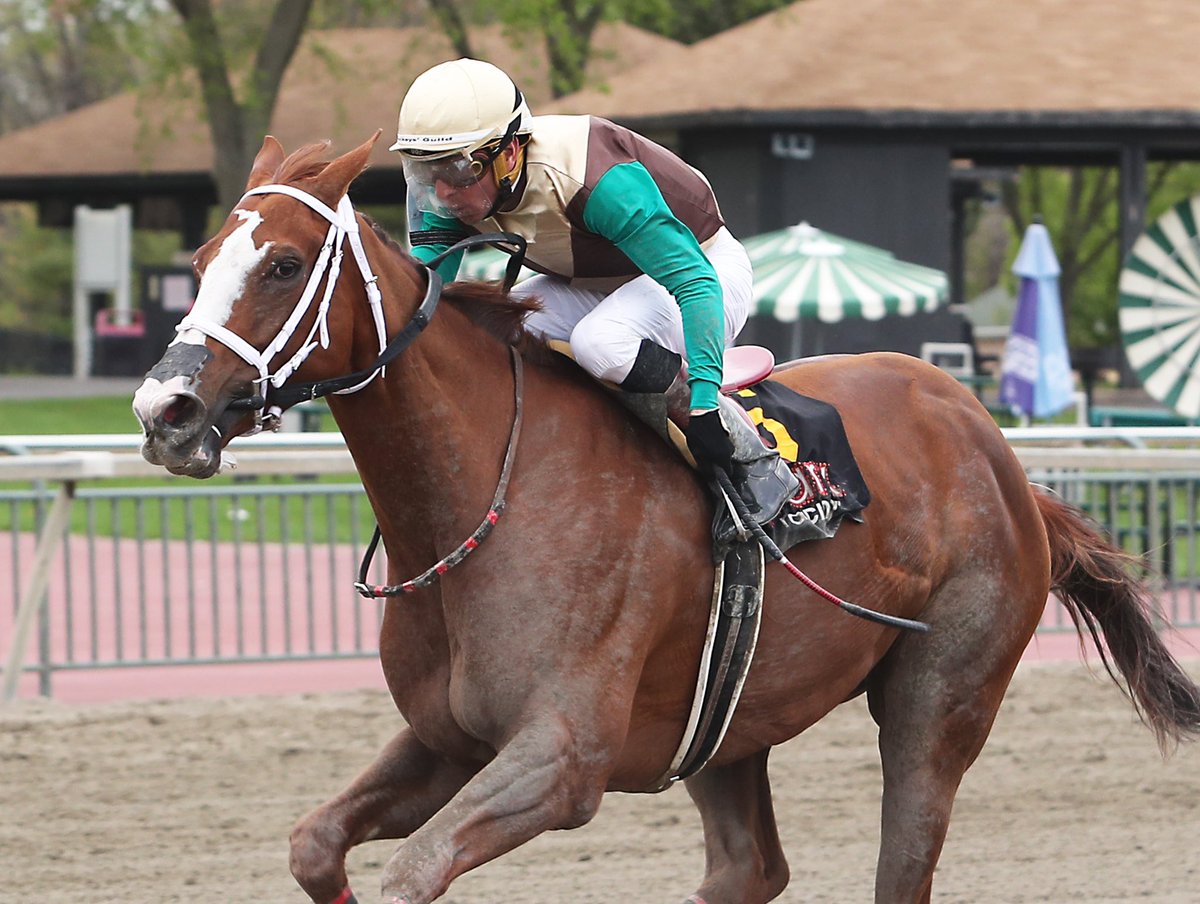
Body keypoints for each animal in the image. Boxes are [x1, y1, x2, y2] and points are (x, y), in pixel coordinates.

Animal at [133, 135, 1200, 902]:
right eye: (201, 256)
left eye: (282, 264)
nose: (164, 411)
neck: (474, 494)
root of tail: (1002, 456)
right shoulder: (450, 741)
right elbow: (315, 845)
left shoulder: (560, 759)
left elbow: (411, 872)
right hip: (728, 717)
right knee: (750, 869)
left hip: (942, 699)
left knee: (903, 855)